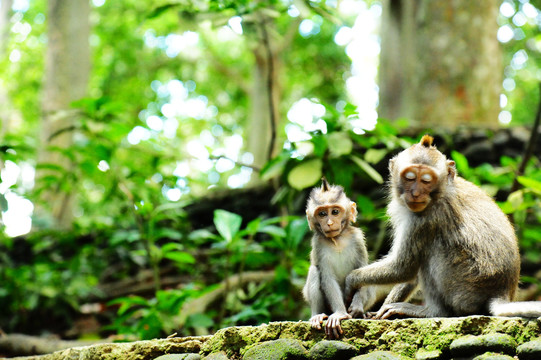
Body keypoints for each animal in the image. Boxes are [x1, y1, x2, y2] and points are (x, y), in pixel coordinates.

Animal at [302, 179, 374, 338]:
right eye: (322, 214)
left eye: (335, 212)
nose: (329, 223)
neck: (337, 240)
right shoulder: (318, 244)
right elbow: (327, 277)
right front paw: (340, 314)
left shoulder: (358, 239)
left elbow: (361, 273)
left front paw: (357, 307)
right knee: (314, 271)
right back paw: (317, 315)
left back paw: (364, 314)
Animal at [346, 135, 540, 318]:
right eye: (409, 178)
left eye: (426, 181)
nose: (415, 193)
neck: (440, 193)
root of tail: (500, 293)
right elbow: (410, 275)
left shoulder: (426, 219)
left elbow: (403, 268)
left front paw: (351, 281)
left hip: (464, 288)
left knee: (434, 249)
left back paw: (432, 311)